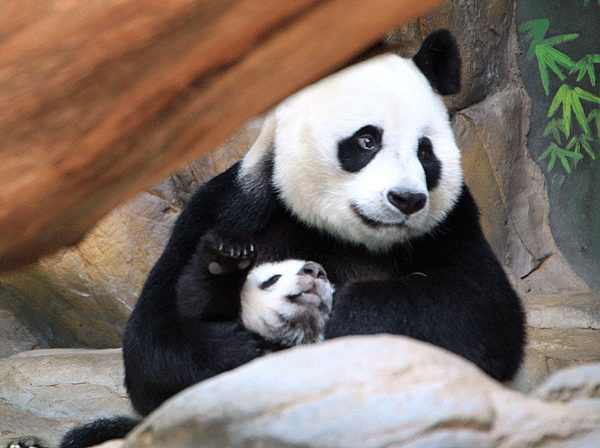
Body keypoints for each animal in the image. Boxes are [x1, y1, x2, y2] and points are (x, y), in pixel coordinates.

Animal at [56, 29, 524, 446]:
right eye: (367, 140)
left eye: (426, 151)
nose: (406, 199)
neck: (347, 236)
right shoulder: (229, 207)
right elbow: (153, 344)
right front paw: (235, 323)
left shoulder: (453, 223)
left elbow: (475, 310)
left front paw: (348, 314)